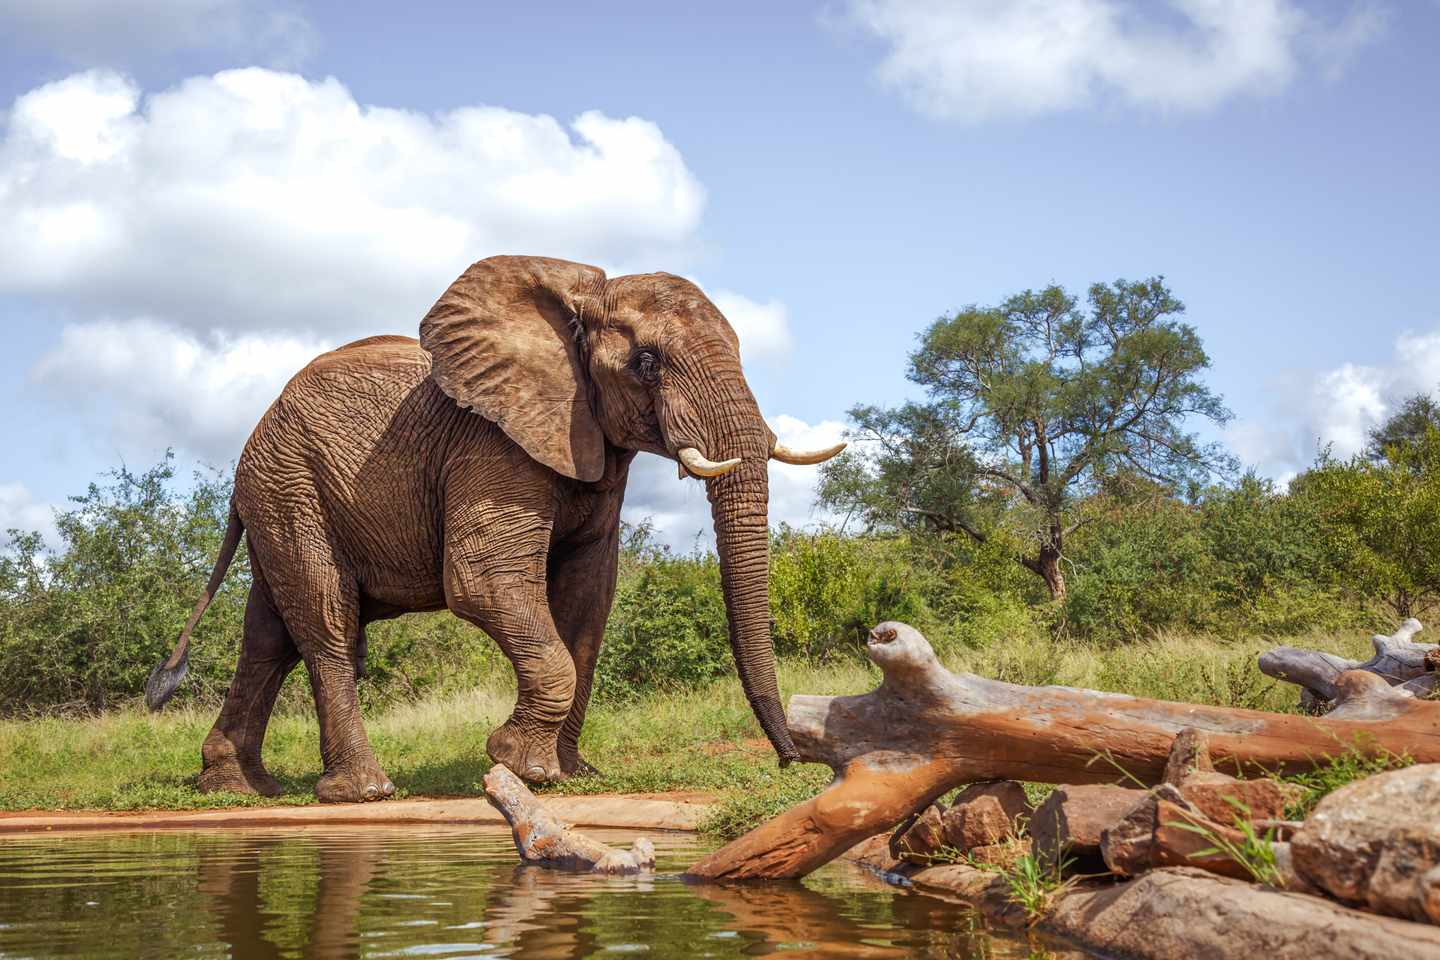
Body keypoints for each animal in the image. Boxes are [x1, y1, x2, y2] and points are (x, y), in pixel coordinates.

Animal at [144, 255, 844, 802]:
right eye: (647, 362)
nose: (791, 762)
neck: (577, 300)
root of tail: (248, 451)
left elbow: (588, 599)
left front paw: (572, 775)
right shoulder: (492, 446)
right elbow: (483, 581)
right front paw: (520, 766)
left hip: (279, 493)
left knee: (268, 637)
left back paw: (238, 787)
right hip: (291, 487)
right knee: (324, 621)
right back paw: (361, 791)